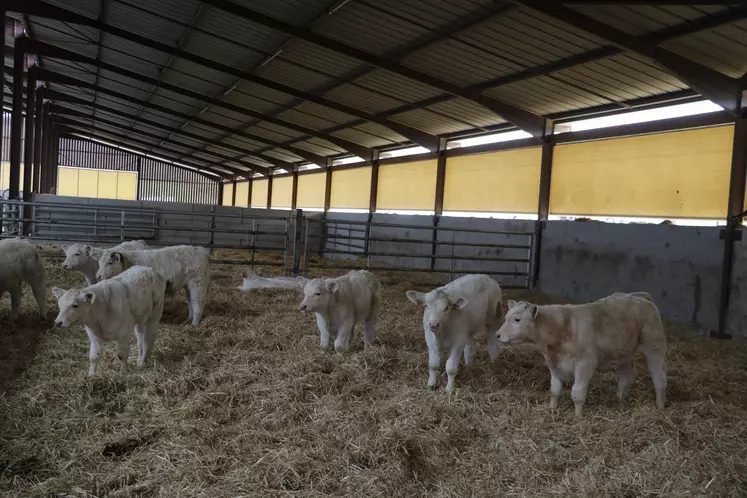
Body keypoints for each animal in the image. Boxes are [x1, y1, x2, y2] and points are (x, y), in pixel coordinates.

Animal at [240, 270, 380, 352]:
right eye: (305, 292)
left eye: (318, 293)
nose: (303, 306)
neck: (328, 311)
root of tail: (365, 272)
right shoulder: (322, 322)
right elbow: (324, 344)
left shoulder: (346, 322)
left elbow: (338, 345)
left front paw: (341, 352)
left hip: (372, 312)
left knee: (368, 330)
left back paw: (368, 348)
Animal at [496, 292, 668, 416]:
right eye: (505, 317)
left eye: (517, 319)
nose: (497, 335)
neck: (563, 328)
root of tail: (641, 296)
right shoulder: (553, 363)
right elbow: (555, 389)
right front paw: (552, 409)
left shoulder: (585, 364)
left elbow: (577, 393)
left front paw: (578, 417)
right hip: (623, 352)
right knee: (628, 374)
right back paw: (620, 398)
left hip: (654, 345)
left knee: (659, 376)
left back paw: (660, 406)